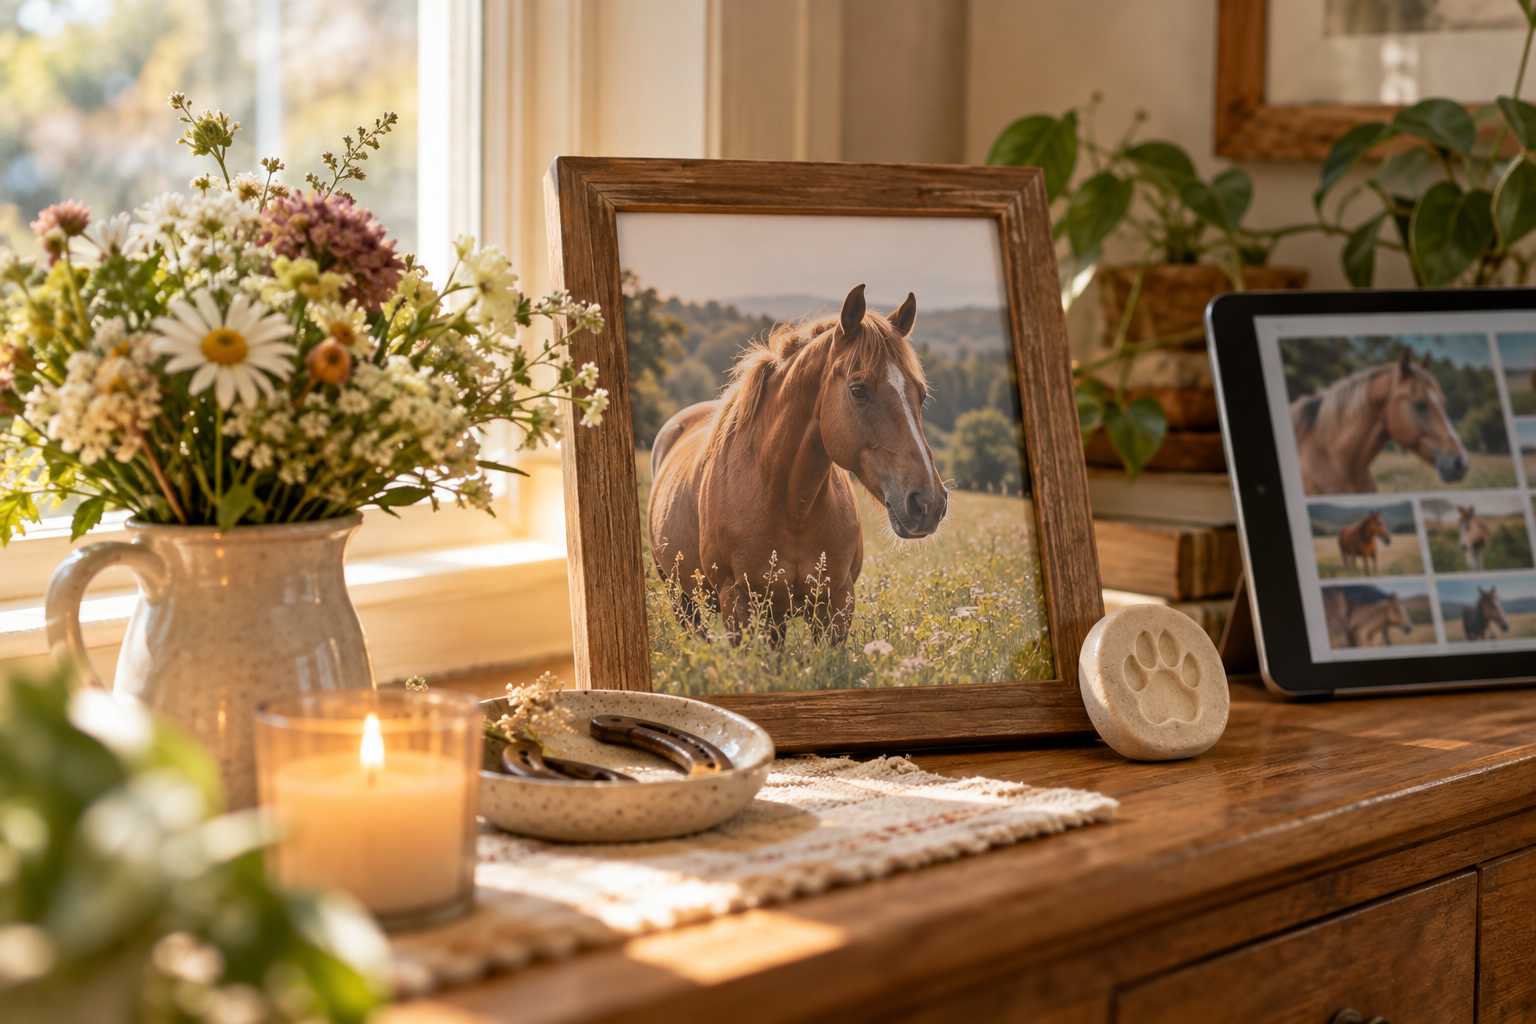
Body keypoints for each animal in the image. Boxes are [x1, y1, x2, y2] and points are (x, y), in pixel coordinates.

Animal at [648, 284, 947, 646]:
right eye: (858, 390)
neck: (791, 505)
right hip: (683, 600)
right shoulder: (738, 603)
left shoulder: (836, 604)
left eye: (921, 394)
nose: (928, 503)